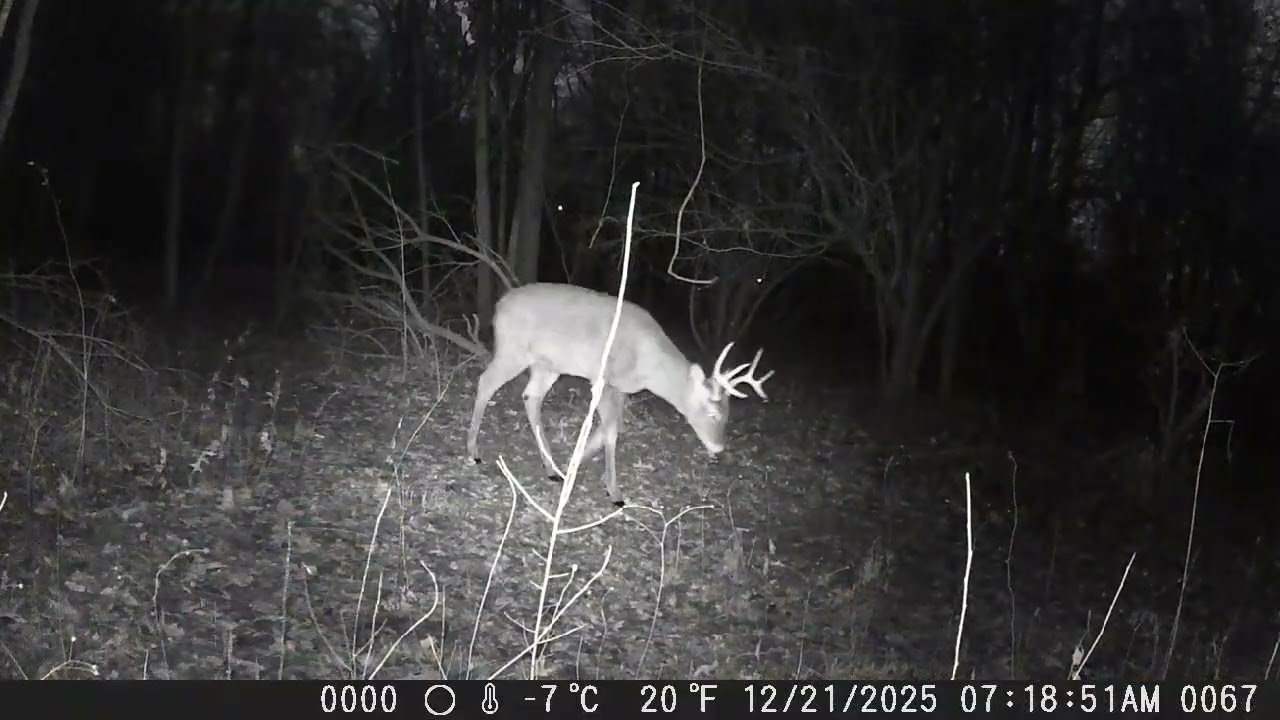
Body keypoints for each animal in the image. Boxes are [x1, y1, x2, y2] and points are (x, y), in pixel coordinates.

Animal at [465, 282, 774, 507]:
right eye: (712, 412)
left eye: (728, 414)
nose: (719, 447)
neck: (647, 366)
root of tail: (499, 305)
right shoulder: (604, 378)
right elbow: (612, 431)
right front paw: (614, 492)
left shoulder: (621, 389)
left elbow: (610, 428)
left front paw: (573, 465)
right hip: (513, 350)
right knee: (485, 381)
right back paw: (473, 452)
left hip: (547, 365)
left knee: (531, 397)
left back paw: (551, 468)